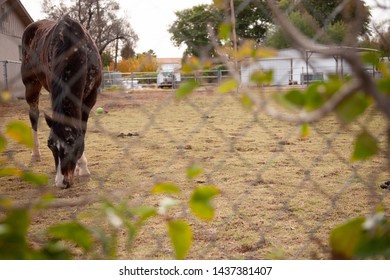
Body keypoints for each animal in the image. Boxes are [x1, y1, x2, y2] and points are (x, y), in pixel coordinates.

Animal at [21, 15, 102, 188]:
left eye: (71, 143)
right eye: (50, 145)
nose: (61, 182)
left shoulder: (91, 97)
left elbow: (82, 128)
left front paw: (82, 169)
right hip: (31, 84)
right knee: (34, 115)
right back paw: (35, 154)